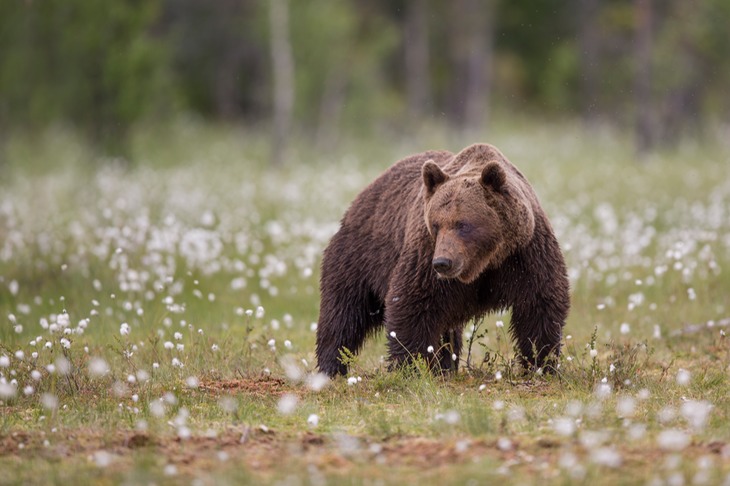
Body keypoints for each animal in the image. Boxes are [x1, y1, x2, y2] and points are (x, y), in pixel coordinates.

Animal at [312, 142, 568, 378]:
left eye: (463, 224)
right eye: (436, 224)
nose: (443, 262)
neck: (485, 262)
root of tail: (361, 198)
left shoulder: (525, 254)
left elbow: (539, 303)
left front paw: (541, 363)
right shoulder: (426, 256)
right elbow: (413, 304)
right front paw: (409, 366)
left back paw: (444, 367)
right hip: (360, 258)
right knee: (343, 313)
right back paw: (331, 367)